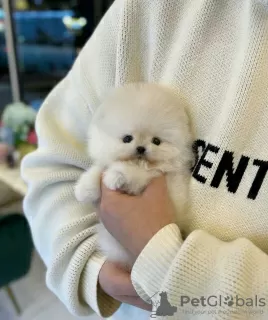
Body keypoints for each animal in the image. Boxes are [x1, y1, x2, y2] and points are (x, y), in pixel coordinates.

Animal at [74, 82, 194, 268]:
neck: (141, 163)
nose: (141, 148)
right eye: (127, 138)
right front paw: (84, 189)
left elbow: (131, 173)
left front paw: (115, 176)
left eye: (156, 141)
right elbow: (98, 170)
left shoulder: (150, 176)